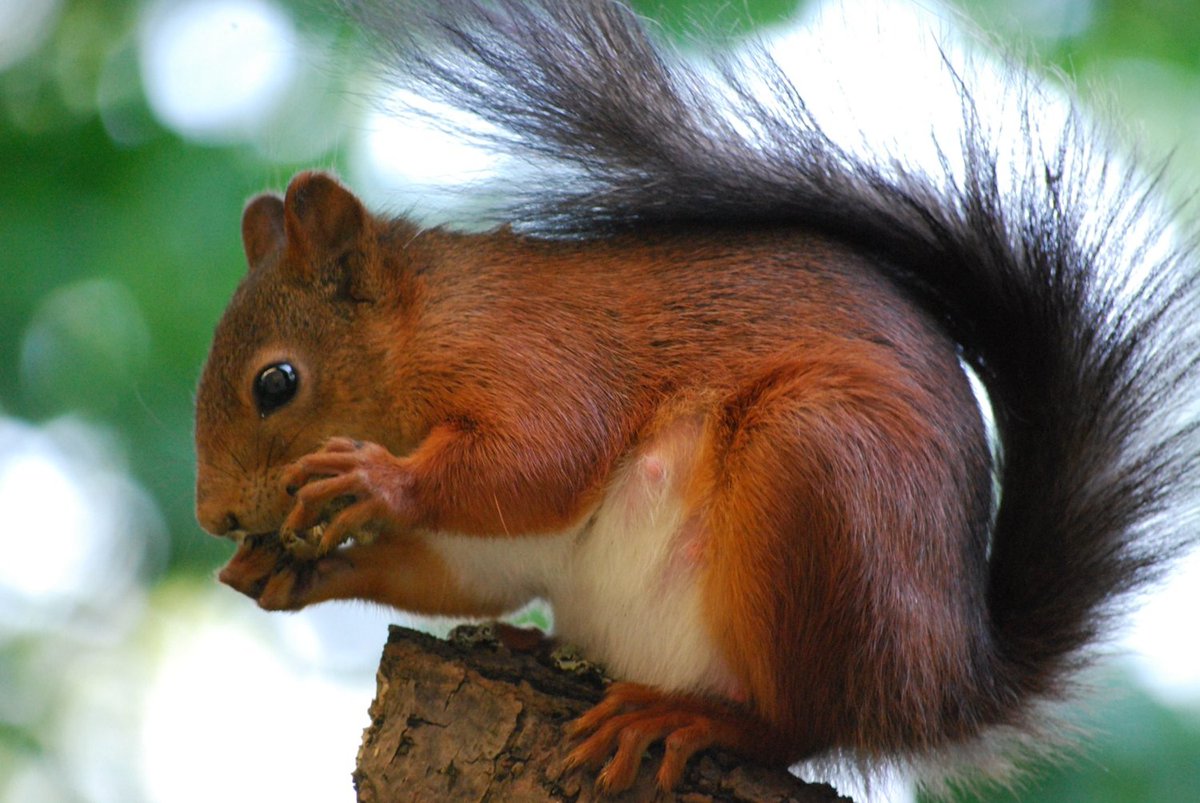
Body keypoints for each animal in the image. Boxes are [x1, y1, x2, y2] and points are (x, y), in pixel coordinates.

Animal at [194, 0, 1200, 796]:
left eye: (277, 382)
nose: (213, 516)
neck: (428, 326)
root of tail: (946, 686)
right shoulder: (486, 548)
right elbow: (458, 575)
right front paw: (288, 572)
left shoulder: (542, 359)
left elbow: (544, 459)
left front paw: (374, 481)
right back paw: (531, 650)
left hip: (817, 479)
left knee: (803, 723)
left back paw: (694, 720)